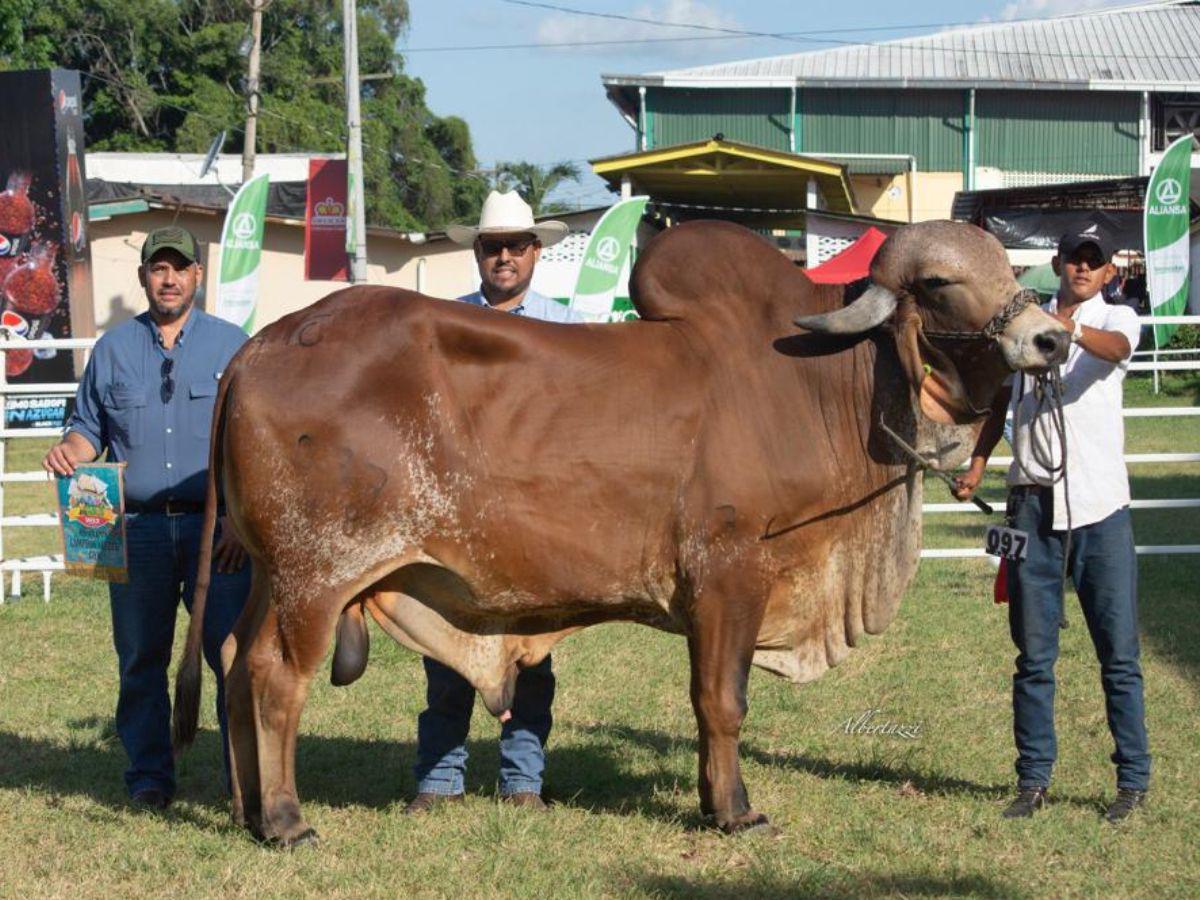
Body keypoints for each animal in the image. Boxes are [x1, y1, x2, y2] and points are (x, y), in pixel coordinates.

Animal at [171, 218, 1070, 844]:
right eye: (944, 284)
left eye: (1011, 270)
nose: (1052, 337)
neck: (821, 386)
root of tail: (257, 348)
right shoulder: (728, 575)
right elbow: (723, 702)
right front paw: (735, 811)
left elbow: (712, 705)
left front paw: (714, 802)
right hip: (317, 576)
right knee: (273, 677)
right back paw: (286, 820)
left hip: (270, 573)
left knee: (231, 661)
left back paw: (249, 810)